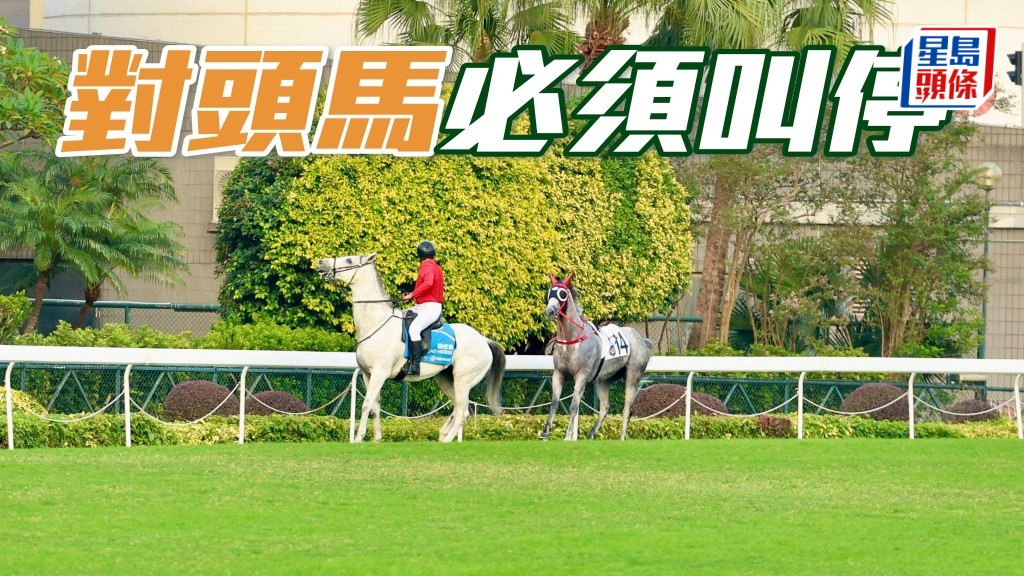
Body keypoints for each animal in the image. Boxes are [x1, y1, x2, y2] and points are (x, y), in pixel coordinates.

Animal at [317, 253, 505, 443]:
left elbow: (366, 404)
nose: (321, 262)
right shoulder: (367, 374)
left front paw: (358, 438)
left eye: (349, 260)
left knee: (462, 412)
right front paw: (377, 438)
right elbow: (375, 406)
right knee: (458, 408)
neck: (377, 323)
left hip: (463, 381)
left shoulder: (379, 373)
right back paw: (442, 435)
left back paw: (446, 440)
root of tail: (484, 340)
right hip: (445, 379)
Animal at [541, 274, 653, 441]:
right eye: (549, 292)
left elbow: (574, 406)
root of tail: (642, 339)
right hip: (604, 380)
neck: (572, 339)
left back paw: (621, 438)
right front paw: (545, 432)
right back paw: (591, 433)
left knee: (627, 409)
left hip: (633, 376)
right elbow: (554, 402)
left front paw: (568, 436)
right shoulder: (558, 374)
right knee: (605, 407)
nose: (550, 311)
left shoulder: (581, 376)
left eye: (562, 294)